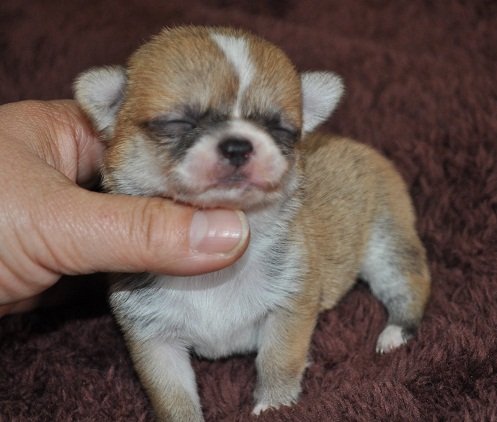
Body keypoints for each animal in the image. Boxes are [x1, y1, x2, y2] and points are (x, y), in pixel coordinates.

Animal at [74, 26, 430, 421]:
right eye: (181, 122)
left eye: (279, 128)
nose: (238, 145)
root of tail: (361, 147)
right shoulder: (151, 337)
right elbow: (171, 396)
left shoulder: (289, 305)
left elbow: (277, 361)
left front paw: (274, 405)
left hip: (386, 239)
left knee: (410, 281)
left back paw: (395, 333)